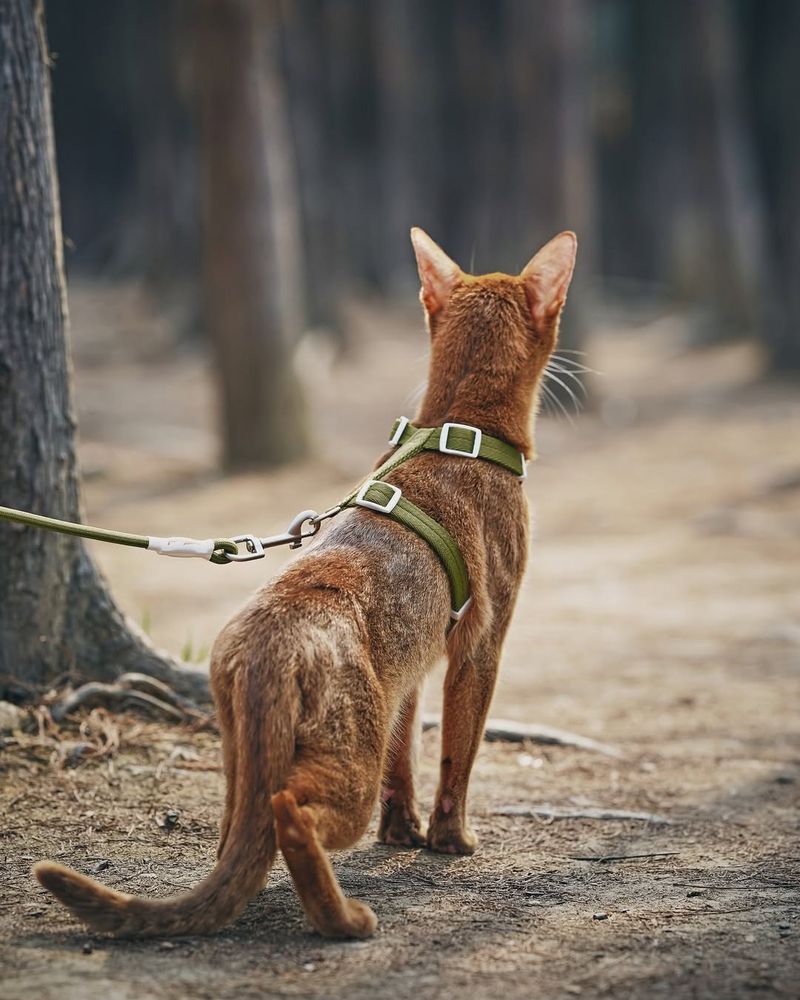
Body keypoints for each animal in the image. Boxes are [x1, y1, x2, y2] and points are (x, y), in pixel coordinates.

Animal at [36, 225, 576, 936]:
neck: (457, 430)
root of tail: (268, 647)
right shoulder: (479, 650)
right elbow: (458, 759)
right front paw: (451, 840)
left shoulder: (410, 669)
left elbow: (405, 763)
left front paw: (402, 833)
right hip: (345, 762)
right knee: (295, 815)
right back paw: (342, 919)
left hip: (247, 753)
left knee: (245, 829)